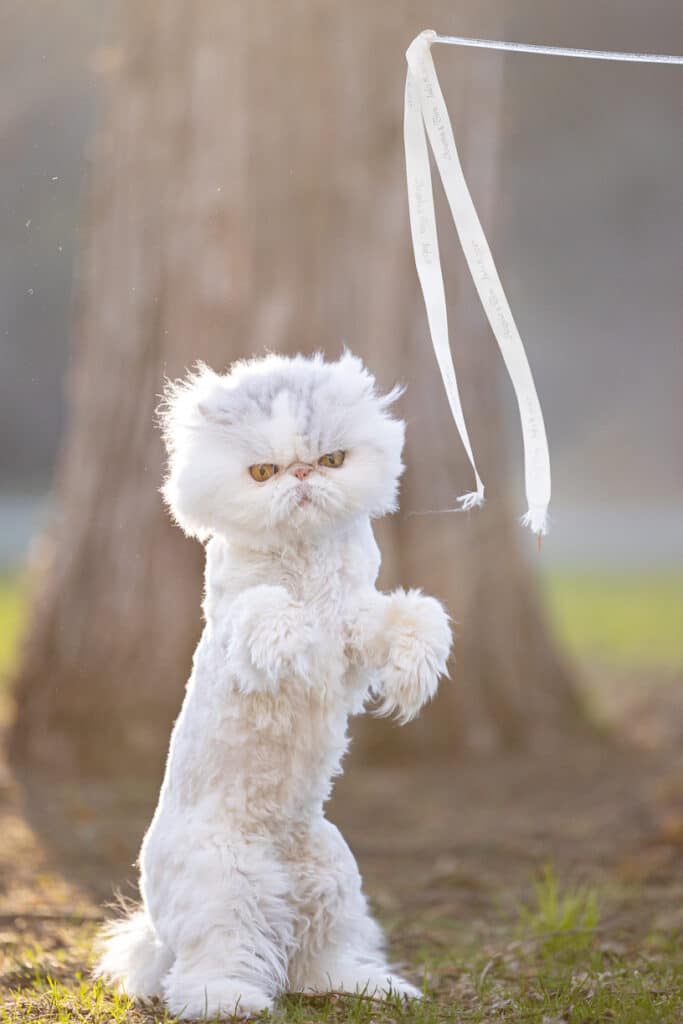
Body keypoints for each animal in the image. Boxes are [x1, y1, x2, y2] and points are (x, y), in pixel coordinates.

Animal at [93, 352, 450, 1015]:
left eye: (332, 460)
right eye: (263, 472)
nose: (302, 476)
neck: (303, 555)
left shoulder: (362, 624)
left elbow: (413, 616)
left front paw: (411, 680)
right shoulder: (244, 617)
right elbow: (271, 614)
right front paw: (300, 644)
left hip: (334, 879)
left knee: (312, 961)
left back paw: (374, 987)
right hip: (225, 889)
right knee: (206, 972)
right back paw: (233, 1002)